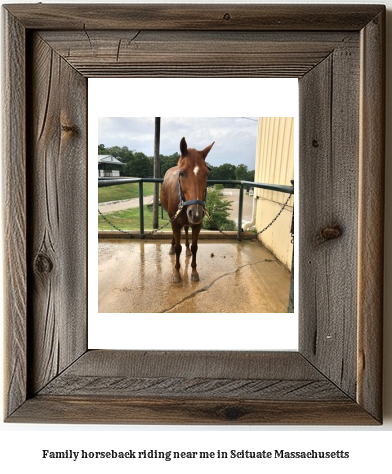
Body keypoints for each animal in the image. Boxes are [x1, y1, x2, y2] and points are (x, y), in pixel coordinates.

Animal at [160, 136, 214, 282]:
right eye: (181, 173)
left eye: (207, 174)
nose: (196, 213)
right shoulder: (174, 221)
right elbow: (178, 247)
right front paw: (177, 273)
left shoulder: (197, 224)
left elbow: (195, 247)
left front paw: (194, 272)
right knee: (176, 236)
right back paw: (172, 248)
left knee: (185, 229)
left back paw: (188, 250)